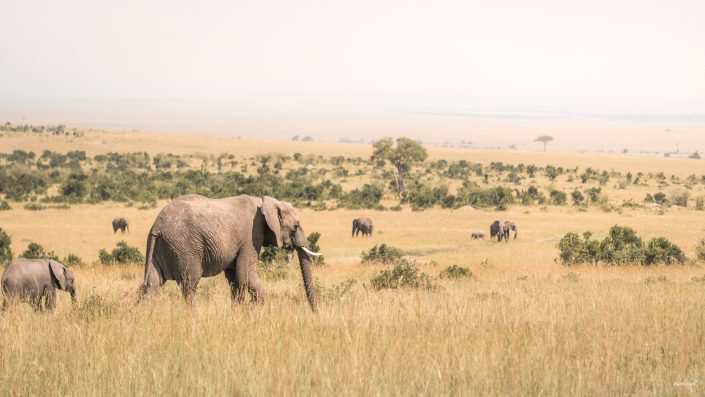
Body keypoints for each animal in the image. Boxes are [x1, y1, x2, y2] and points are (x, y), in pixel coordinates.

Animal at [140, 193, 320, 310]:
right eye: (295, 226)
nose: (314, 312)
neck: (264, 202)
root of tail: (157, 225)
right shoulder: (251, 236)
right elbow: (244, 274)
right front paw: (251, 309)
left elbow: (235, 278)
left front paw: (238, 311)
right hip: (185, 247)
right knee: (189, 284)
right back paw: (193, 315)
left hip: (161, 246)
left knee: (152, 284)